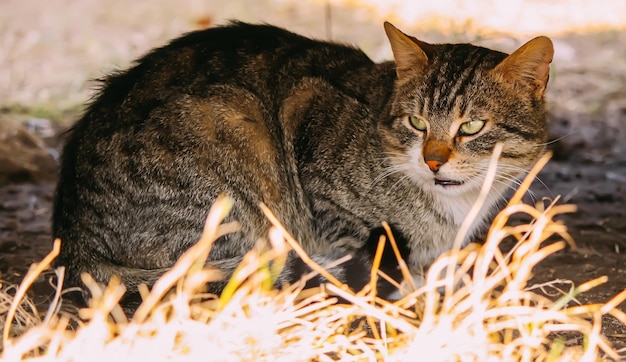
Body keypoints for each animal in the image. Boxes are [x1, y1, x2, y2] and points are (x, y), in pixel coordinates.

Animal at [52, 21, 552, 312]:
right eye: (417, 122)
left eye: (471, 126)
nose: (433, 160)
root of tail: (72, 242)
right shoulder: (308, 118)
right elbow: (358, 242)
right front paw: (410, 282)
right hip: (231, 127)